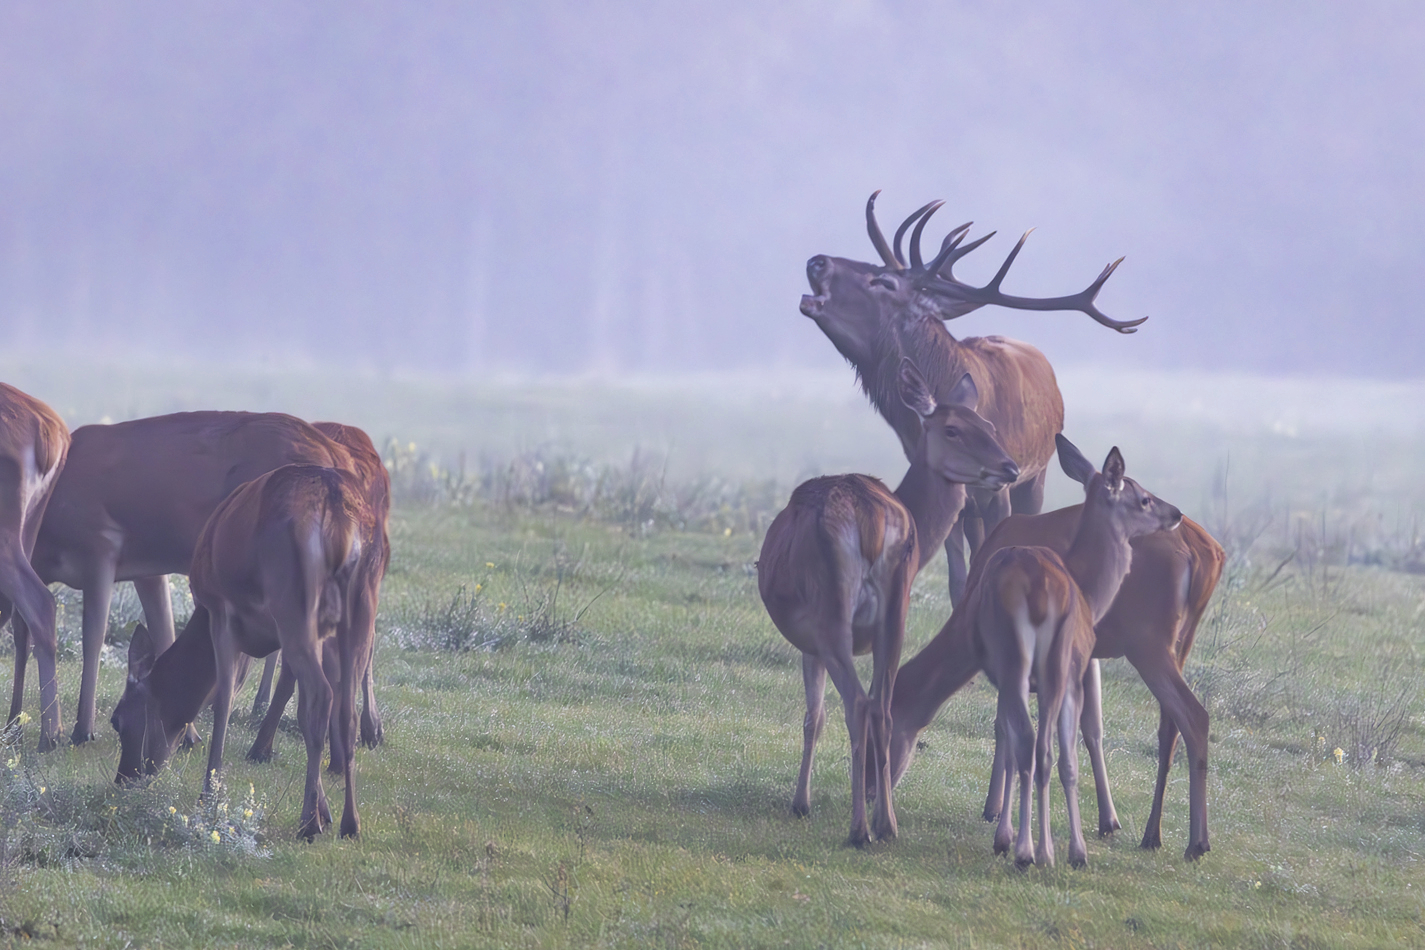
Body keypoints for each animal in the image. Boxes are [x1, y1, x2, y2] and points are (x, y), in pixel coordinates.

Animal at [763, 358, 1020, 848]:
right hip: (896, 610)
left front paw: (800, 802)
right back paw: (887, 824)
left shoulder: (808, 643)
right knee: (881, 706)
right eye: (956, 429)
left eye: (990, 426)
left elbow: (812, 717)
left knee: (858, 705)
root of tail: (869, 517)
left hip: (830, 612)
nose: (1011, 466)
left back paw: (860, 829)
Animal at [980, 438, 1179, 871]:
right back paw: (1041, 852)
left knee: (1021, 742)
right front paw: (1070, 849)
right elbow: (1067, 757)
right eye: (1143, 498)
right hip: (1055, 667)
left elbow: (1009, 742)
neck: (1090, 589)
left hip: (1010, 665)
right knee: (1041, 749)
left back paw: (1016, 844)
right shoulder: (1073, 673)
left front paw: (1004, 837)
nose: (1175, 513)